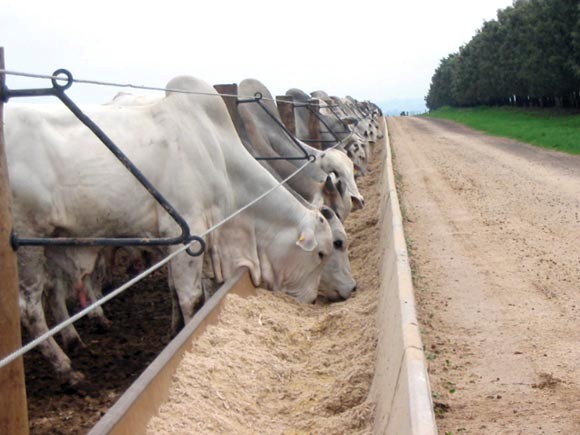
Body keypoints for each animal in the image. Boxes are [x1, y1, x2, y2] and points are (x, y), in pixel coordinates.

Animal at [4, 76, 334, 386]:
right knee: (29, 307)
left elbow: (179, 289)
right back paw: (67, 370)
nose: (310, 301)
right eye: (321, 254)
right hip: (28, 240)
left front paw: (174, 330)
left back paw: (74, 341)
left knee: (53, 293)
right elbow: (191, 297)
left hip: (53, 241)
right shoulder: (187, 232)